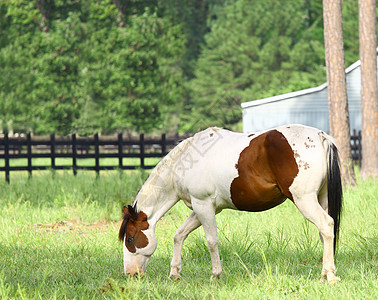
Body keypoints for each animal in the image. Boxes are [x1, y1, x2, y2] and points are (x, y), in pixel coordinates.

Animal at [119, 125, 342, 284]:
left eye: (130, 238)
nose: (130, 274)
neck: (185, 164)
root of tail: (320, 136)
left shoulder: (203, 206)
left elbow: (212, 241)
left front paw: (216, 275)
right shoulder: (202, 209)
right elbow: (179, 235)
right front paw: (174, 272)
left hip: (305, 200)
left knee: (326, 225)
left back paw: (330, 275)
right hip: (321, 199)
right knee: (325, 234)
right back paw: (325, 272)